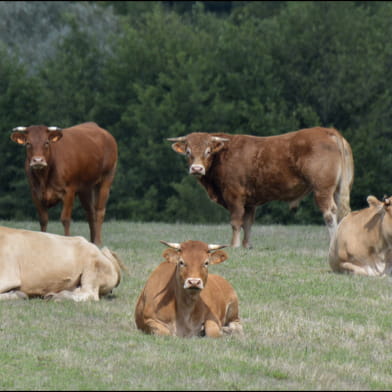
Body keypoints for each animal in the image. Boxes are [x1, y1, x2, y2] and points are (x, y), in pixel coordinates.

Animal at [168, 126, 356, 248]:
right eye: (188, 152)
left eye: (208, 151)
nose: (196, 169)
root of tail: (327, 131)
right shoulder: (250, 201)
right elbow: (248, 223)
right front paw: (246, 245)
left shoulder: (234, 195)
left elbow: (236, 221)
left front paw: (234, 245)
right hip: (338, 189)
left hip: (322, 189)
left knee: (330, 213)